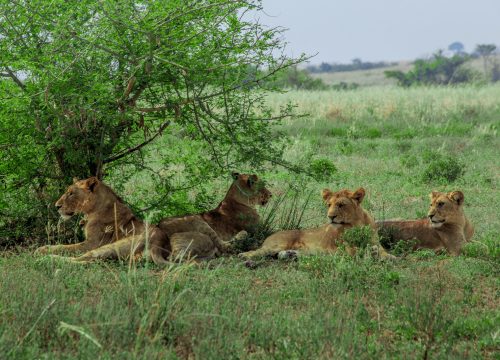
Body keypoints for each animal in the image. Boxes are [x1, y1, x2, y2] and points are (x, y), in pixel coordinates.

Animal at [36, 176, 168, 262]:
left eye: (71, 193)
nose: (56, 206)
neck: (92, 211)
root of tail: (158, 243)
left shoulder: (92, 243)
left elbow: (65, 247)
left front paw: (44, 249)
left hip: (112, 245)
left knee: (84, 259)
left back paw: (48, 258)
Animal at [238, 187, 394, 260]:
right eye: (329, 204)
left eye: (341, 205)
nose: (330, 217)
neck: (357, 224)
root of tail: (270, 236)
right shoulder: (344, 249)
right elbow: (358, 250)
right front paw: (370, 252)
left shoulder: (375, 241)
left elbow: (383, 251)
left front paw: (389, 257)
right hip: (276, 244)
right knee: (258, 251)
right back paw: (245, 256)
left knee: (281, 255)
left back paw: (291, 254)